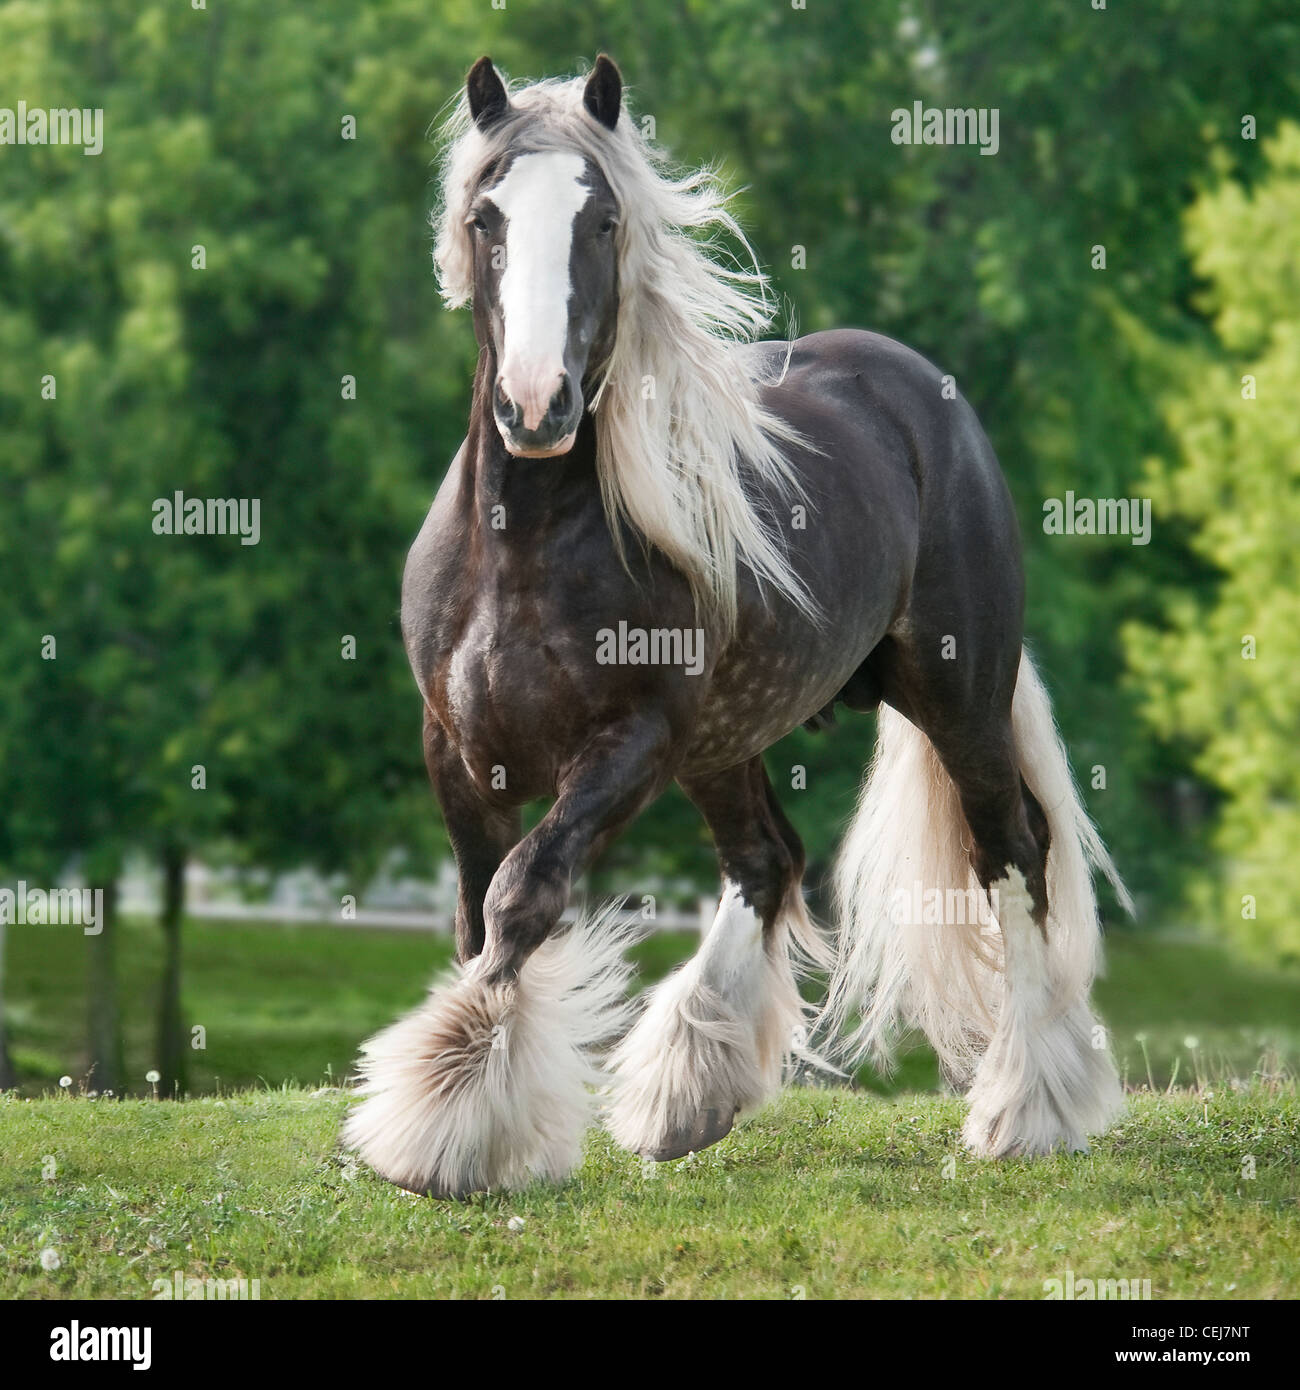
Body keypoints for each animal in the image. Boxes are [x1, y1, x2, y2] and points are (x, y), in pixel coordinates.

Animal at [340, 54, 1134, 1200]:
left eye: (604, 220)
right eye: (487, 217)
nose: (537, 407)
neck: (526, 544)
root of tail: (920, 388)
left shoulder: (630, 745)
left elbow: (524, 896)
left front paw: (442, 1118)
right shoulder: (455, 750)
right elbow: (475, 910)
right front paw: (470, 1108)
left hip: (956, 696)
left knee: (1011, 849)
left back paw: (1025, 1108)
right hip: (729, 739)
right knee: (768, 859)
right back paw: (686, 1095)